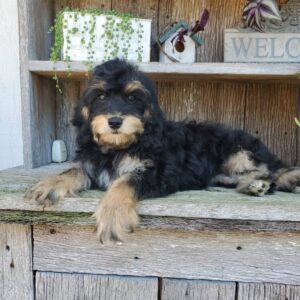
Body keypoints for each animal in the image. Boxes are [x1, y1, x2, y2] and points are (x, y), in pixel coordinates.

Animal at [25, 57, 300, 243]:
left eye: (132, 98)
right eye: (100, 97)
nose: (114, 121)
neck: (120, 146)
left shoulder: (160, 171)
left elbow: (125, 181)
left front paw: (112, 215)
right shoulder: (94, 164)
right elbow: (76, 170)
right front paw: (51, 183)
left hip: (239, 152)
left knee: (272, 170)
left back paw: (268, 181)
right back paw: (253, 185)